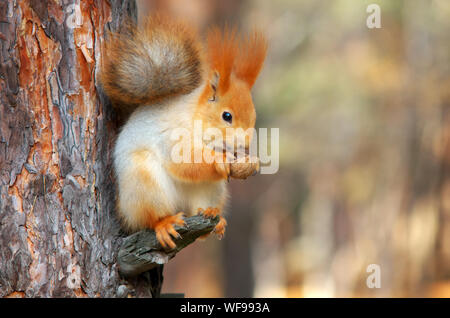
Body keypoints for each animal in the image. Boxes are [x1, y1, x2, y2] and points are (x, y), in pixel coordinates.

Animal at [100, 14, 268, 248]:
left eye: (253, 117)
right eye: (227, 116)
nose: (244, 144)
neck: (195, 117)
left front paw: (248, 161)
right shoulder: (172, 135)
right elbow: (184, 160)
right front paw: (221, 160)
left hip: (211, 189)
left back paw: (214, 217)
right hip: (144, 184)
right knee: (150, 217)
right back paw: (164, 224)